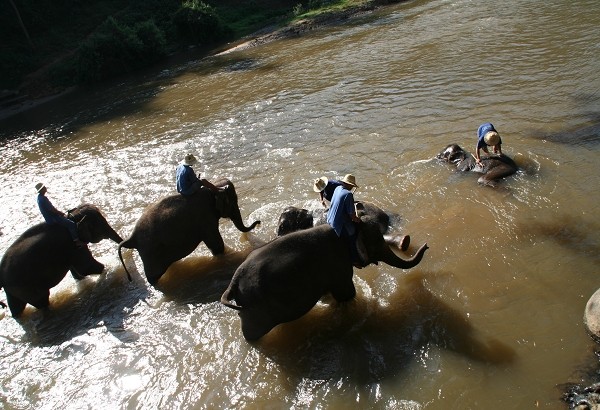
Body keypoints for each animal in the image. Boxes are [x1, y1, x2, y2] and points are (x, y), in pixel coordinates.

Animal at [119, 178, 260, 286]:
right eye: (233, 201)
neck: (214, 187)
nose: (258, 222)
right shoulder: (205, 217)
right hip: (150, 252)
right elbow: (216, 243)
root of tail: (131, 238)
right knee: (154, 275)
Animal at [219, 211, 426, 340]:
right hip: (256, 309)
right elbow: (346, 293)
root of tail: (233, 283)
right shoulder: (339, 265)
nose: (426, 245)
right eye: (376, 241)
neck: (346, 228)